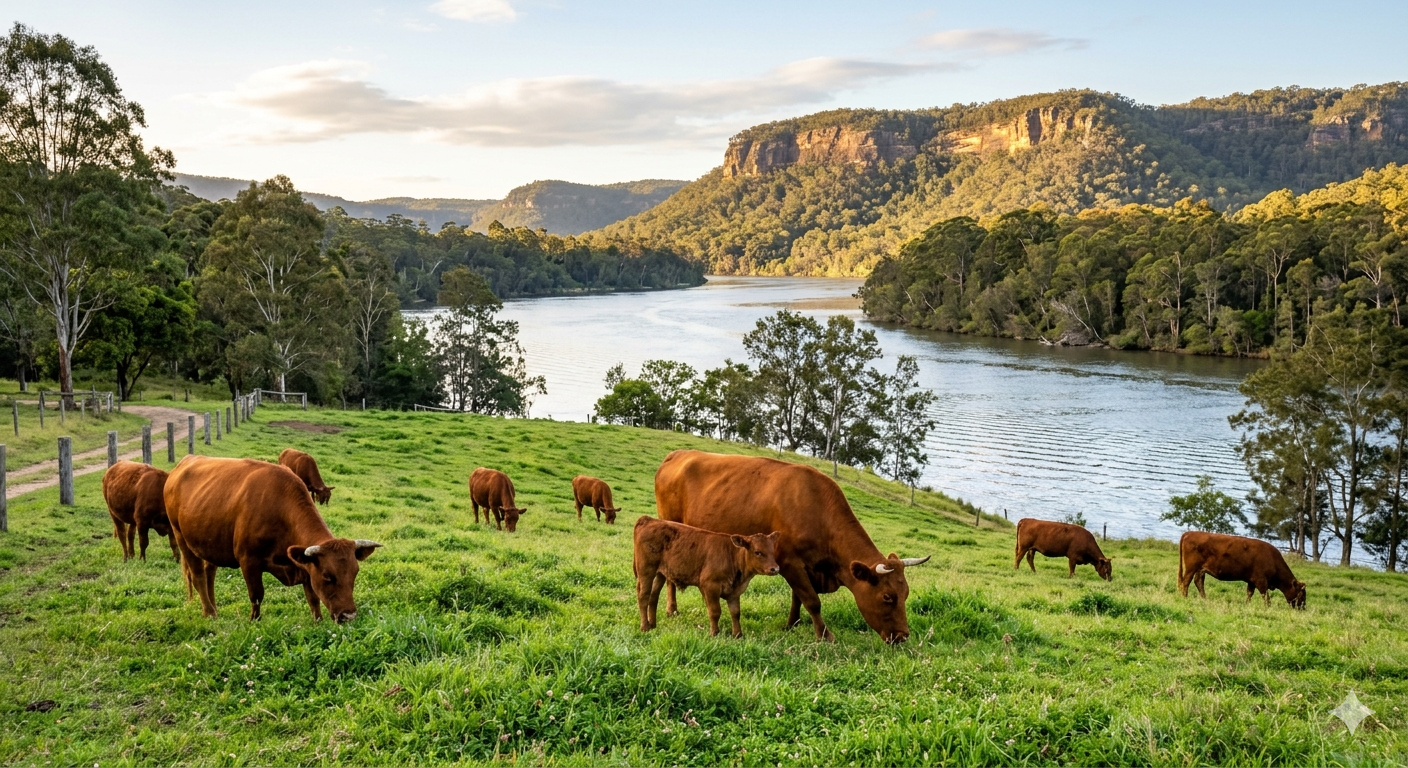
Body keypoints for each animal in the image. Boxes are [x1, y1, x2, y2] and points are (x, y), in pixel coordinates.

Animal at [164, 456, 381, 622]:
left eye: (355, 573)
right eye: (328, 576)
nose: (349, 616)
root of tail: (183, 463)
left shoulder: (304, 564)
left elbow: (313, 599)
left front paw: (318, 623)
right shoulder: (248, 561)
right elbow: (256, 595)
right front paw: (254, 621)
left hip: (211, 543)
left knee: (210, 573)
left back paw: (214, 607)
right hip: (181, 537)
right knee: (198, 575)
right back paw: (209, 613)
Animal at [633, 516, 780, 637]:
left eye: (772, 551)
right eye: (757, 552)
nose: (775, 568)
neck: (732, 556)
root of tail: (649, 519)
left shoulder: (734, 592)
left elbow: (736, 613)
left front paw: (738, 635)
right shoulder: (710, 586)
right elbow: (715, 611)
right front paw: (714, 633)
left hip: (661, 573)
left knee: (653, 597)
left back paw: (652, 624)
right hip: (646, 571)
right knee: (643, 596)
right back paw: (645, 627)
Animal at [654, 450, 929, 644]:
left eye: (906, 593)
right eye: (887, 597)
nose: (903, 636)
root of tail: (677, 454)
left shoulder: (805, 566)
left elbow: (798, 597)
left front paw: (792, 624)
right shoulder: (788, 562)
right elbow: (812, 600)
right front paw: (824, 635)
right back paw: (671, 609)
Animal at [1178, 531, 1307, 608]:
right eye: (1302, 594)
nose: (1303, 608)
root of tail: (1190, 533)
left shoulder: (1252, 581)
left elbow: (1249, 593)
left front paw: (1246, 605)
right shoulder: (1261, 581)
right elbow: (1265, 595)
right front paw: (1268, 607)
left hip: (1200, 570)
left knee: (1198, 582)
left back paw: (1205, 599)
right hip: (1191, 568)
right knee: (1186, 582)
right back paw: (1185, 598)